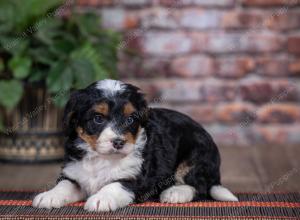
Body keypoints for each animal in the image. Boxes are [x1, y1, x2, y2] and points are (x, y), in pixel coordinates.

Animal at [32, 79, 238, 211]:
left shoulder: (137, 178)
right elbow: (65, 184)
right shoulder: (74, 171)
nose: (118, 142)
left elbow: (115, 185)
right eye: (98, 118)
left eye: (130, 119)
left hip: (196, 155)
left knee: (200, 186)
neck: (102, 158)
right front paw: (49, 196)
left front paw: (100, 199)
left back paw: (175, 193)